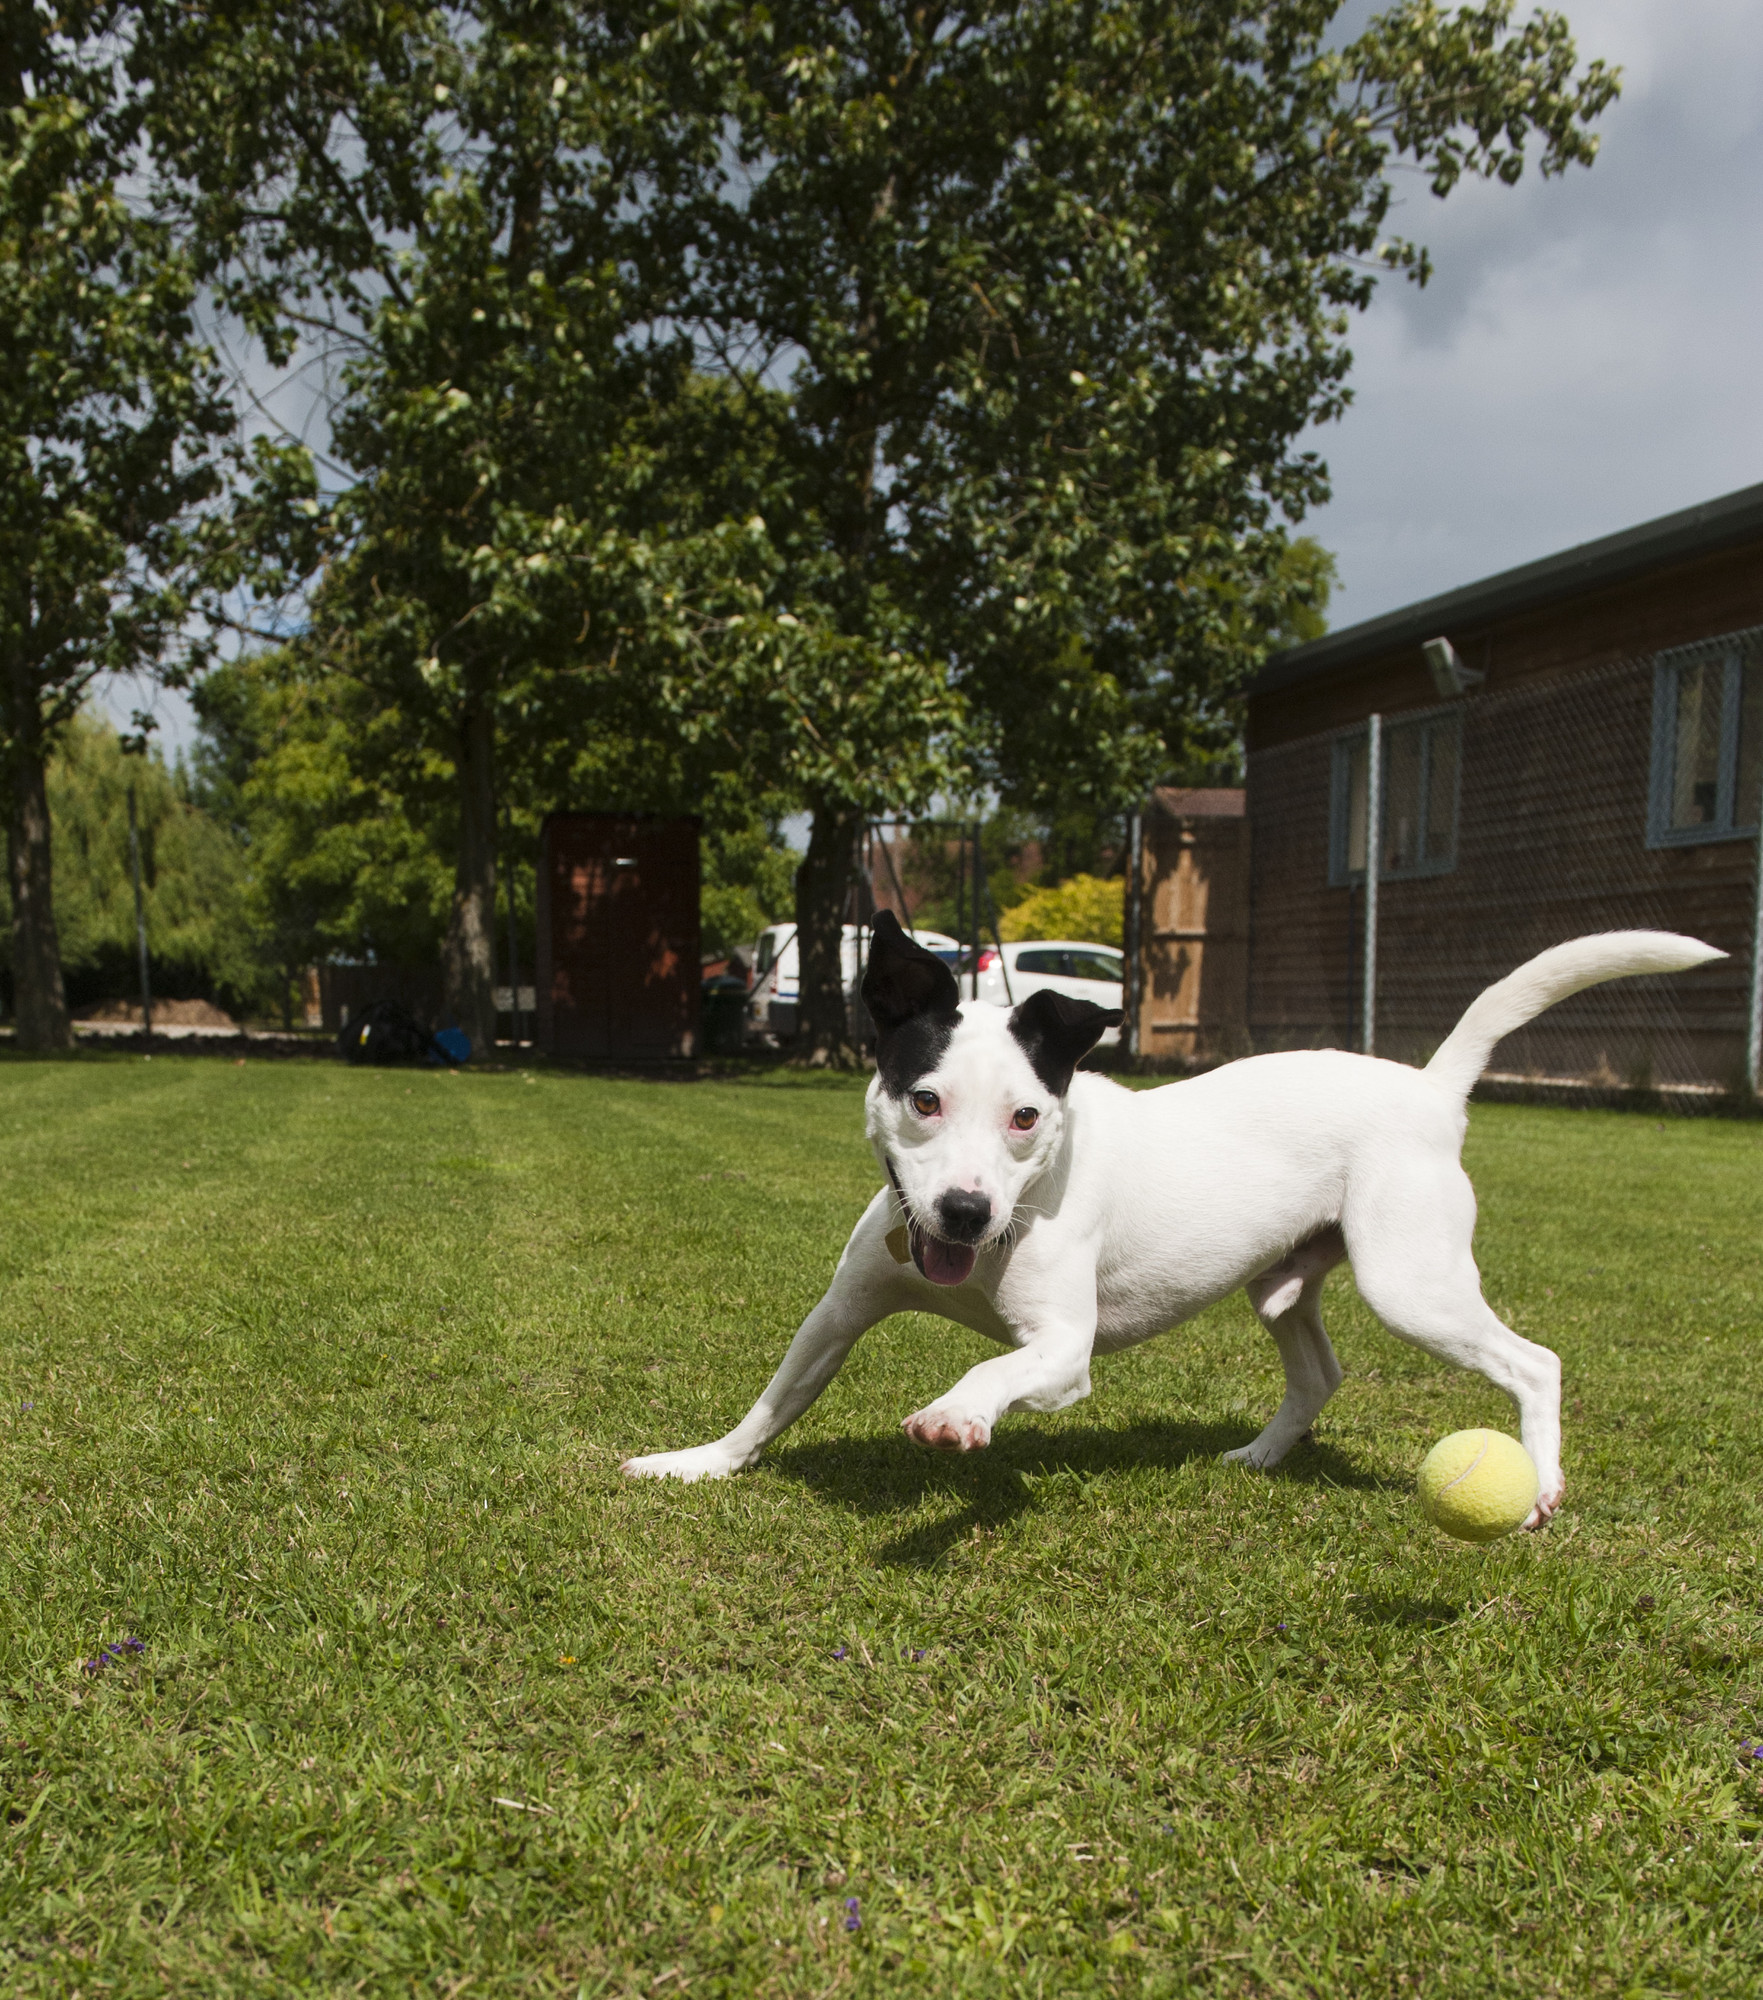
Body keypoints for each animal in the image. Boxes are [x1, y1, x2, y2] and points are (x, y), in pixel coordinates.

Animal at [623, 916, 1719, 1520]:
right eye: (923, 1098)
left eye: (1026, 1115)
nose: (966, 1212)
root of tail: (1430, 1086)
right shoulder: (841, 1310)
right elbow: (770, 1403)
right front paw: (696, 1464)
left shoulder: (1063, 1351)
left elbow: (993, 1371)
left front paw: (956, 1413)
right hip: (1285, 1284)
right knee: (1317, 1372)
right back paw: (1259, 1457)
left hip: (1410, 1281)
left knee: (1534, 1361)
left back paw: (1539, 1484)